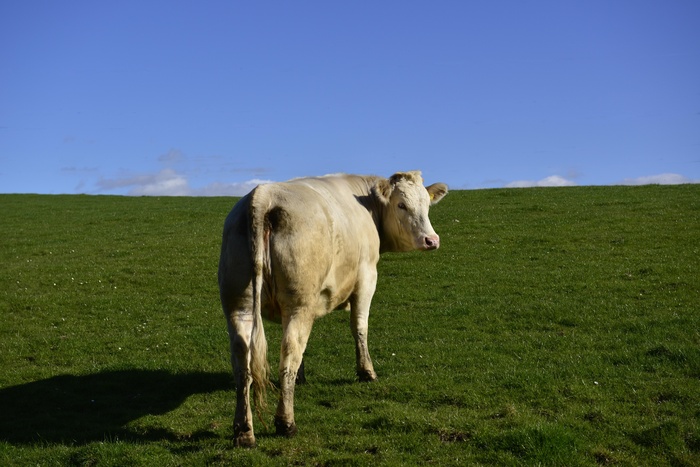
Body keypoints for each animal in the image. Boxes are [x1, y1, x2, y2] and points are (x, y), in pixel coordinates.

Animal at [217, 170, 448, 448]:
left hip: (238, 305)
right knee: (289, 351)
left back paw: (244, 431)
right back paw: (286, 423)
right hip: (299, 303)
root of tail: (263, 195)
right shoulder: (366, 277)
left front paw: (302, 377)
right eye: (402, 205)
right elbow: (360, 326)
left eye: (426, 205)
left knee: (243, 360)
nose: (431, 240)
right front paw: (366, 372)